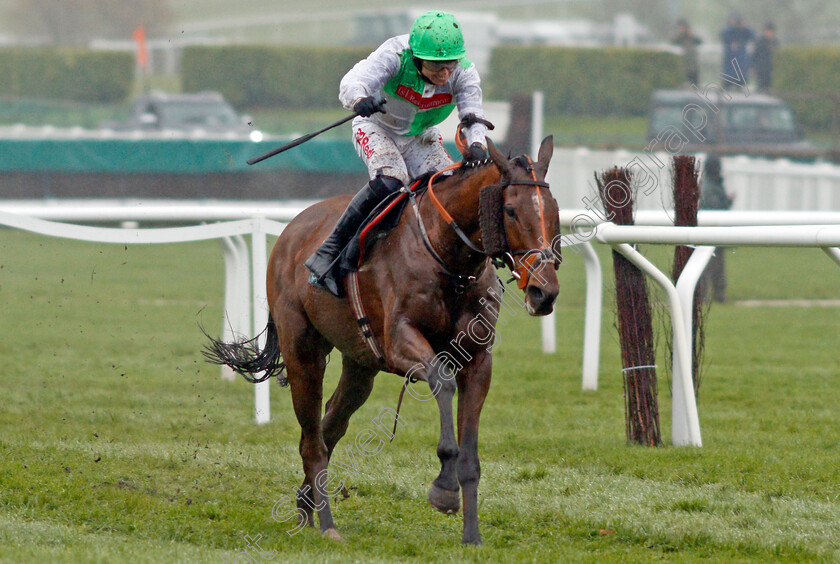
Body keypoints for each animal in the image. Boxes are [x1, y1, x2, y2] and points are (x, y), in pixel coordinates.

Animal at [205, 134, 556, 544]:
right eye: (512, 210)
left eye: (553, 210)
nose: (544, 292)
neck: (449, 258)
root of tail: (292, 230)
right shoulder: (400, 343)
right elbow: (442, 381)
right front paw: (443, 488)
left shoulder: (478, 361)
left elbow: (470, 454)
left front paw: (472, 535)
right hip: (302, 351)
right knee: (312, 440)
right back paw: (327, 524)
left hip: (360, 365)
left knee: (330, 427)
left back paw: (306, 508)